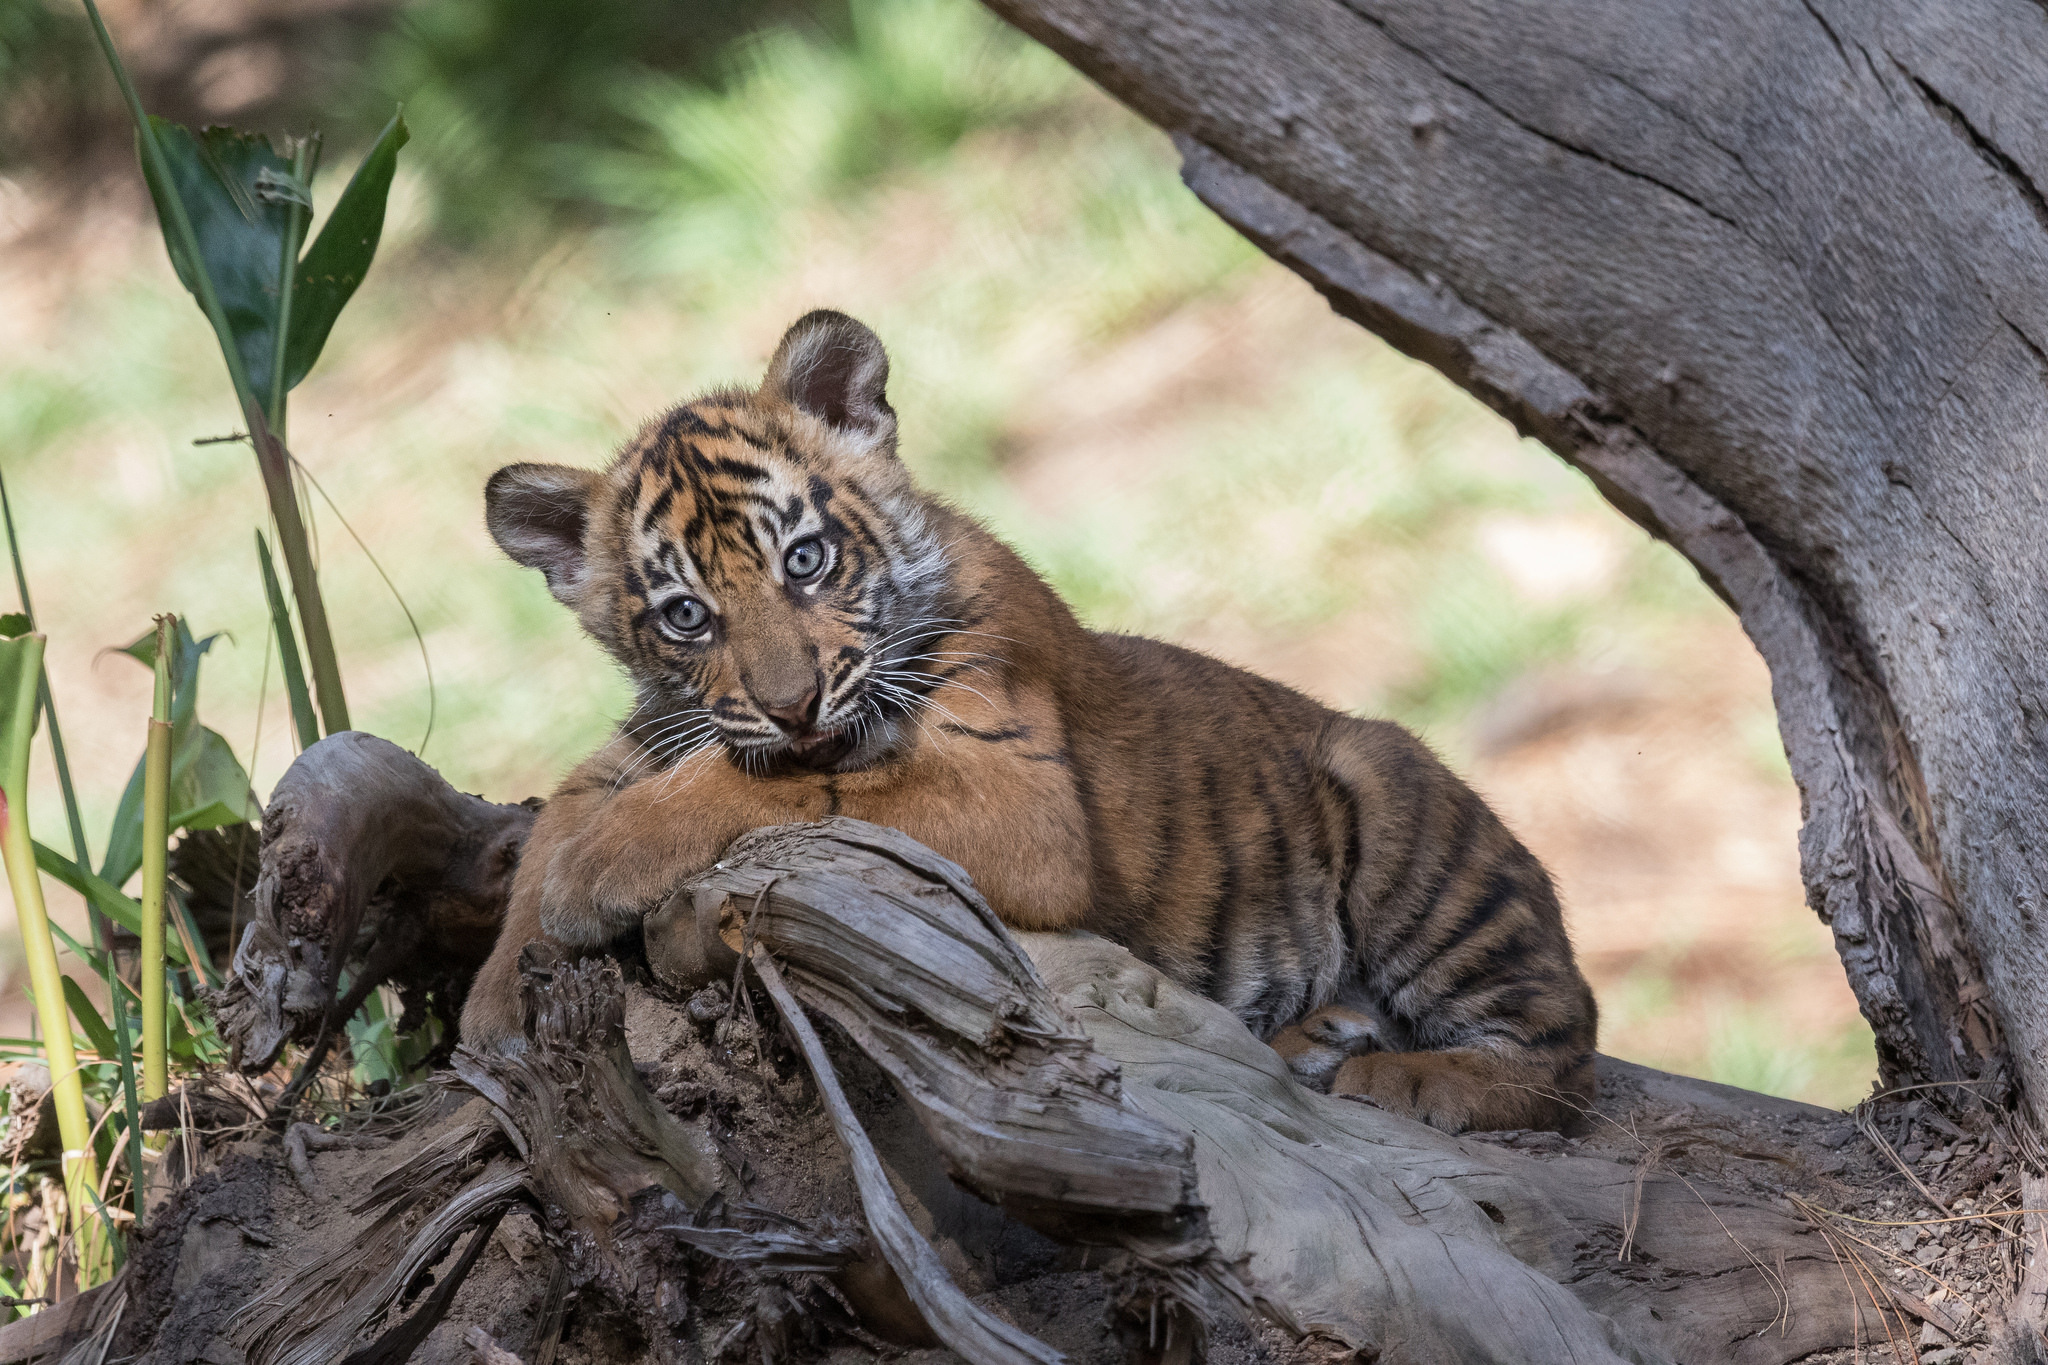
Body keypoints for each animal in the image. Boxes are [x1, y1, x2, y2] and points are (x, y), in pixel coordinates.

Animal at [460, 309, 1597, 1129]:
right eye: (685, 617)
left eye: (806, 560)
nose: (792, 702)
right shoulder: (653, 730)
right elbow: (562, 815)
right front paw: (498, 1001)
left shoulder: (1016, 794)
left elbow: (791, 778)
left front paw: (596, 874)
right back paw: (1318, 1037)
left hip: (1404, 821)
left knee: (1564, 1035)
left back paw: (1412, 1081)